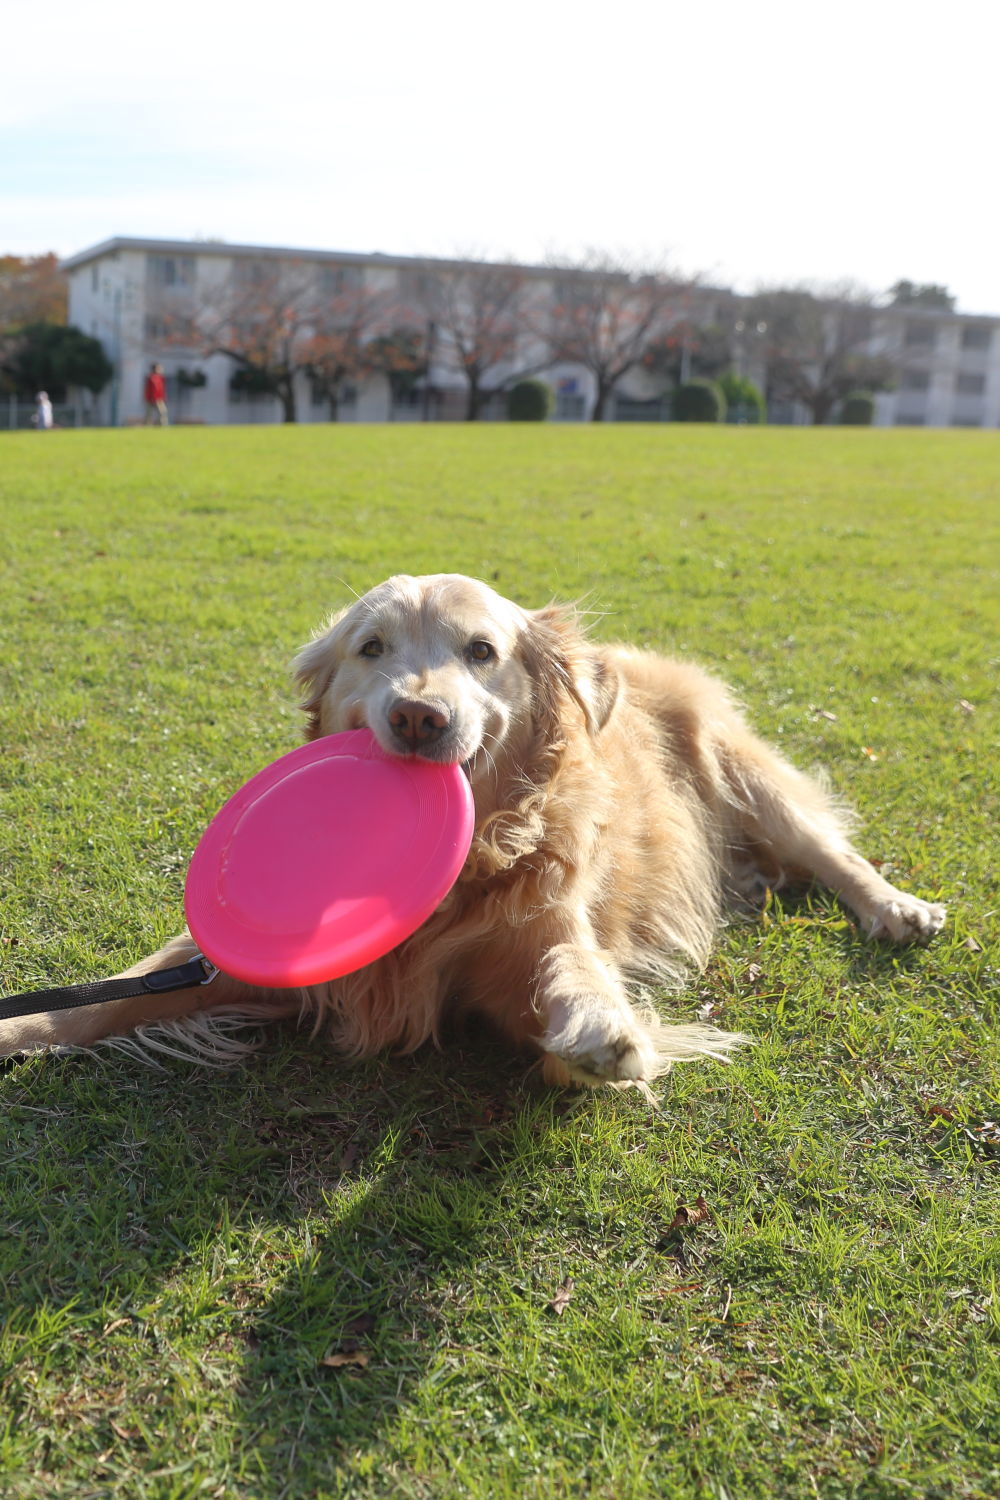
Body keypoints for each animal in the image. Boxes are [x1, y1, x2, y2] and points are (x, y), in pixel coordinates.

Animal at [1, 570, 947, 1080]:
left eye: (481, 652)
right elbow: (111, 994)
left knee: (830, 850)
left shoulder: (533, 946)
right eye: (372, 648)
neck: (463, 874)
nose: (419, 716)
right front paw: (20, 1030)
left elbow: (572, 970)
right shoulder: (246, 963)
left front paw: (601, 1023)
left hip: (743, 771)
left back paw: (896, 908)